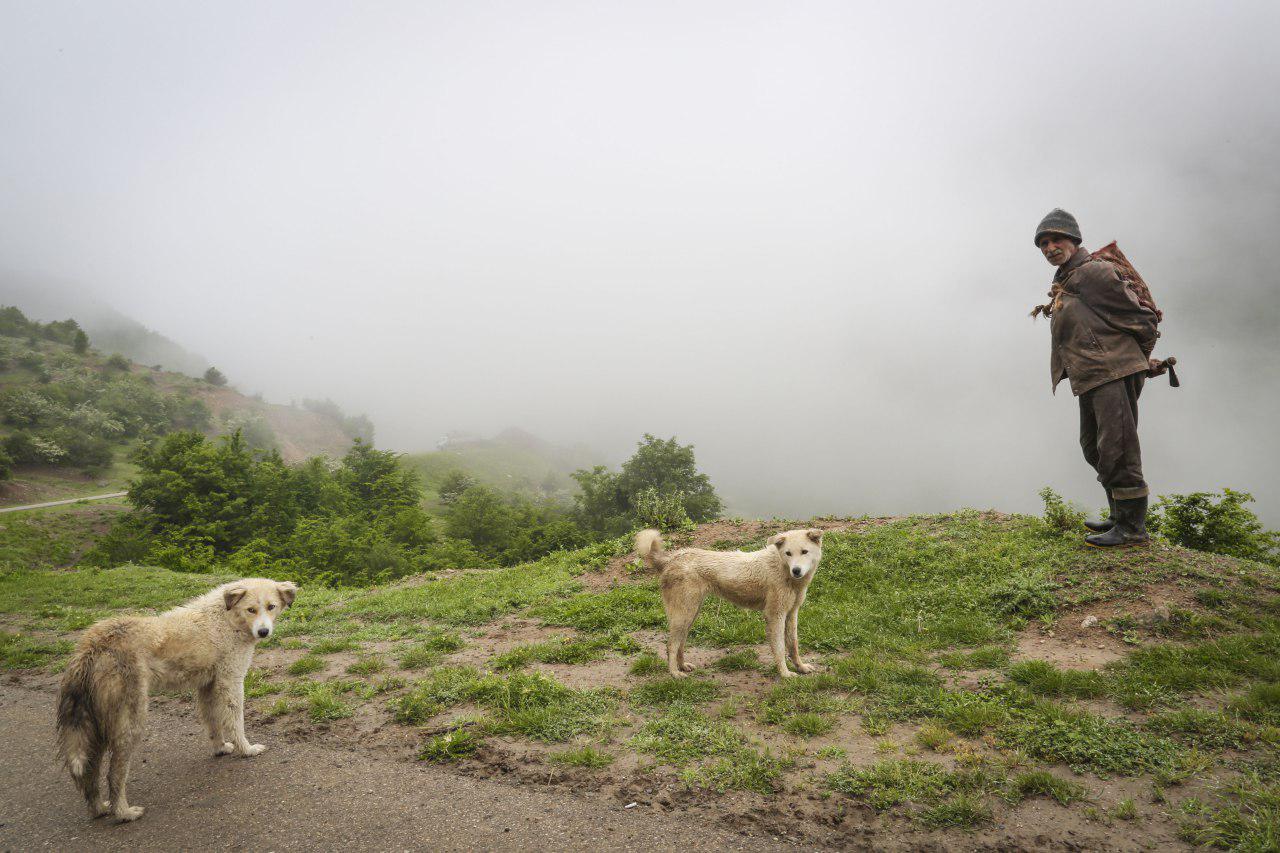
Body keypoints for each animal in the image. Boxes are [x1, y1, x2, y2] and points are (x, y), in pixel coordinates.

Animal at [55, 573, 296, 819]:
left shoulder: (207, 687)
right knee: (114, 774)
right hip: (129, 722)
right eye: (251, 610)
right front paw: (246, 750)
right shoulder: (231, 682)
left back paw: (99, 808)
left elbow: (213, 723)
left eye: (271, 607)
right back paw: (124, 812)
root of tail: (93, 645)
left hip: (95, 726)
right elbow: (235, 722)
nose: (264, 632)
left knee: (90, 772)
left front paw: (220, 748)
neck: (227, 618)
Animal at [634, 525, 824, 676]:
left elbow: (793, 644)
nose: (796, 570)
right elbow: (779, 648)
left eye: (804, 552)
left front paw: (800, 667)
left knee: (681, 642)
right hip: (683, 615)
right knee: (671, 645)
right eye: (788, 553)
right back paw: (674, 673)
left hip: (690, 614)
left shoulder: (791, 613)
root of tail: (672, 558)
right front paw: (785, 674)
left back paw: (682, 666)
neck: (782, 569)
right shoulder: (775, 615)